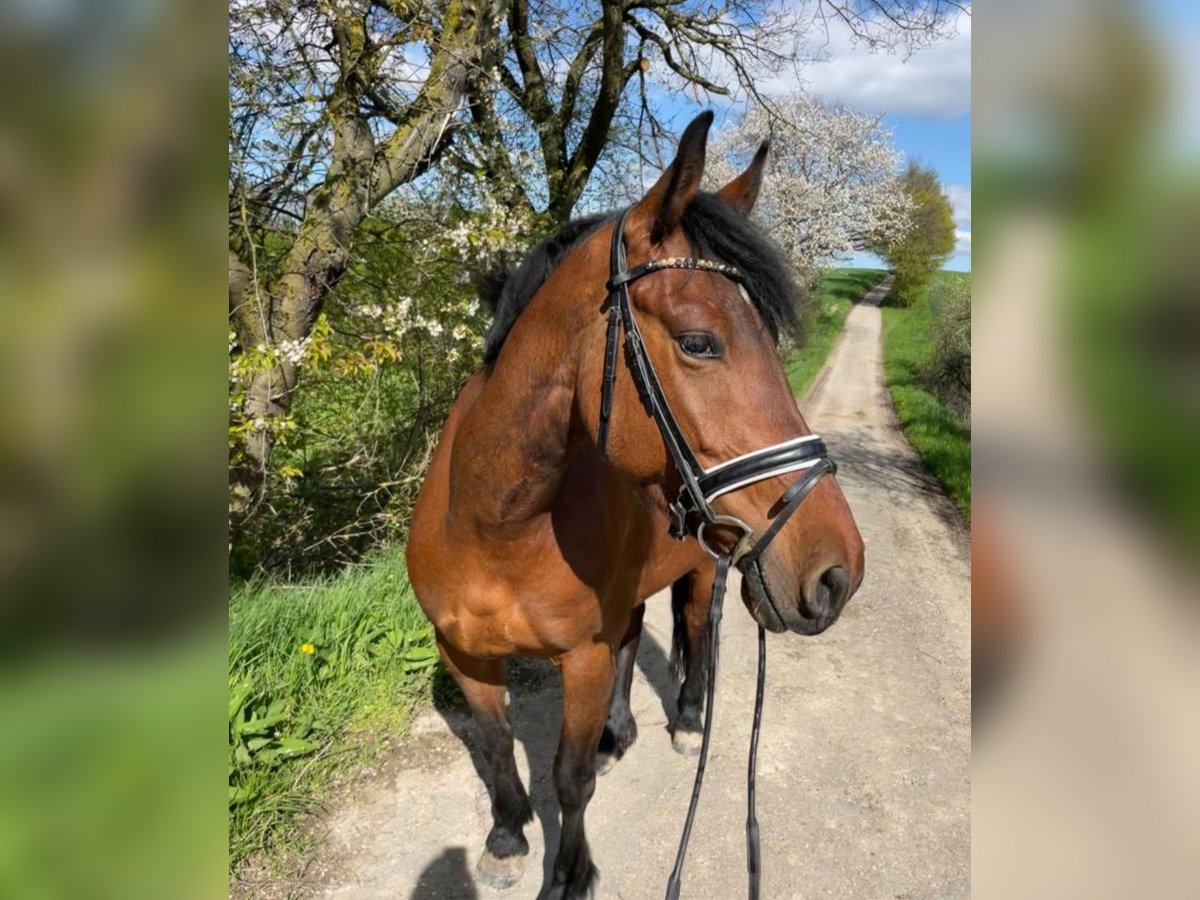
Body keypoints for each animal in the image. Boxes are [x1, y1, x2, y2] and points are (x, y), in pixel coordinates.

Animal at [410, 112, 864, 900]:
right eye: (698, 342)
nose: (839, 572)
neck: (495, 527)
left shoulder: (581, 659)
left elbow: (569, 778)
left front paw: (571, 876)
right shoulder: (462, 651)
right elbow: (497, 746)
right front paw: (506, 838)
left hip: (709, 570)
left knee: (696, 634)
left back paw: (685, 721)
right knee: (636, 633)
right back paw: (618, 733)